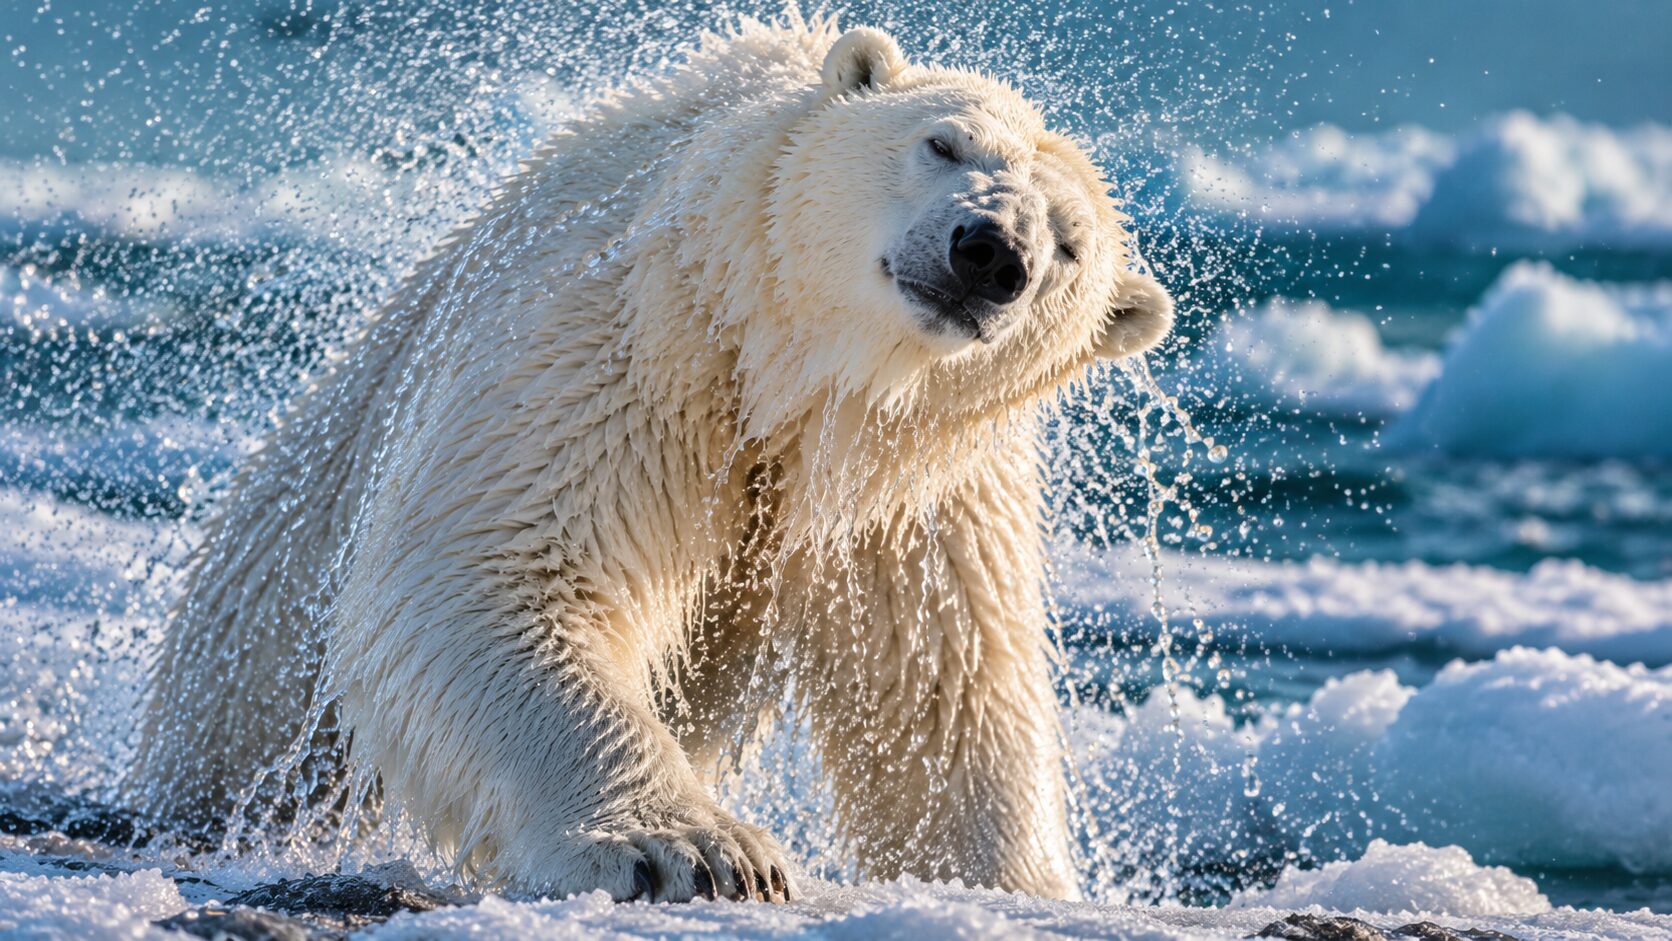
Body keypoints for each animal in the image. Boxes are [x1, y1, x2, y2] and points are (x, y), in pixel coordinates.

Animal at [125, 16, 1173, 903]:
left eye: (1071, 247)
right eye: (944, 143)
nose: (990, 253)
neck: (800, 380)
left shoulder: (915, 494)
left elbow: (946, 701)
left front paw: (1017, 885)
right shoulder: (635, 333)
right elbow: (499, 569)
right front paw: (693, 848)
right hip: (287, 568)